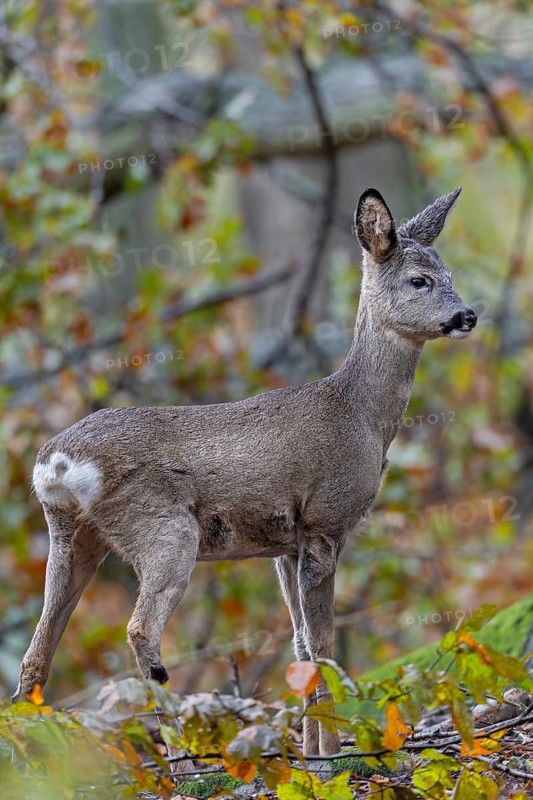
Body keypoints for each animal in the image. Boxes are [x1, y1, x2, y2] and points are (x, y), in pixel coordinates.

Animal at [13, 187, 477, 756]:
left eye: (448, 272)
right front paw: (331, 755)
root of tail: (56, 463)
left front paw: (310, 752)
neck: (360, 414)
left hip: (72, 536)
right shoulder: (325, 520)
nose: (467, 315)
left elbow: (300, 643)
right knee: (140, 629)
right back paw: (179, 753)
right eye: (419, 279)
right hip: (163, 529)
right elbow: (323, 643)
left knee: (37, 650)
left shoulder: (285, 544)